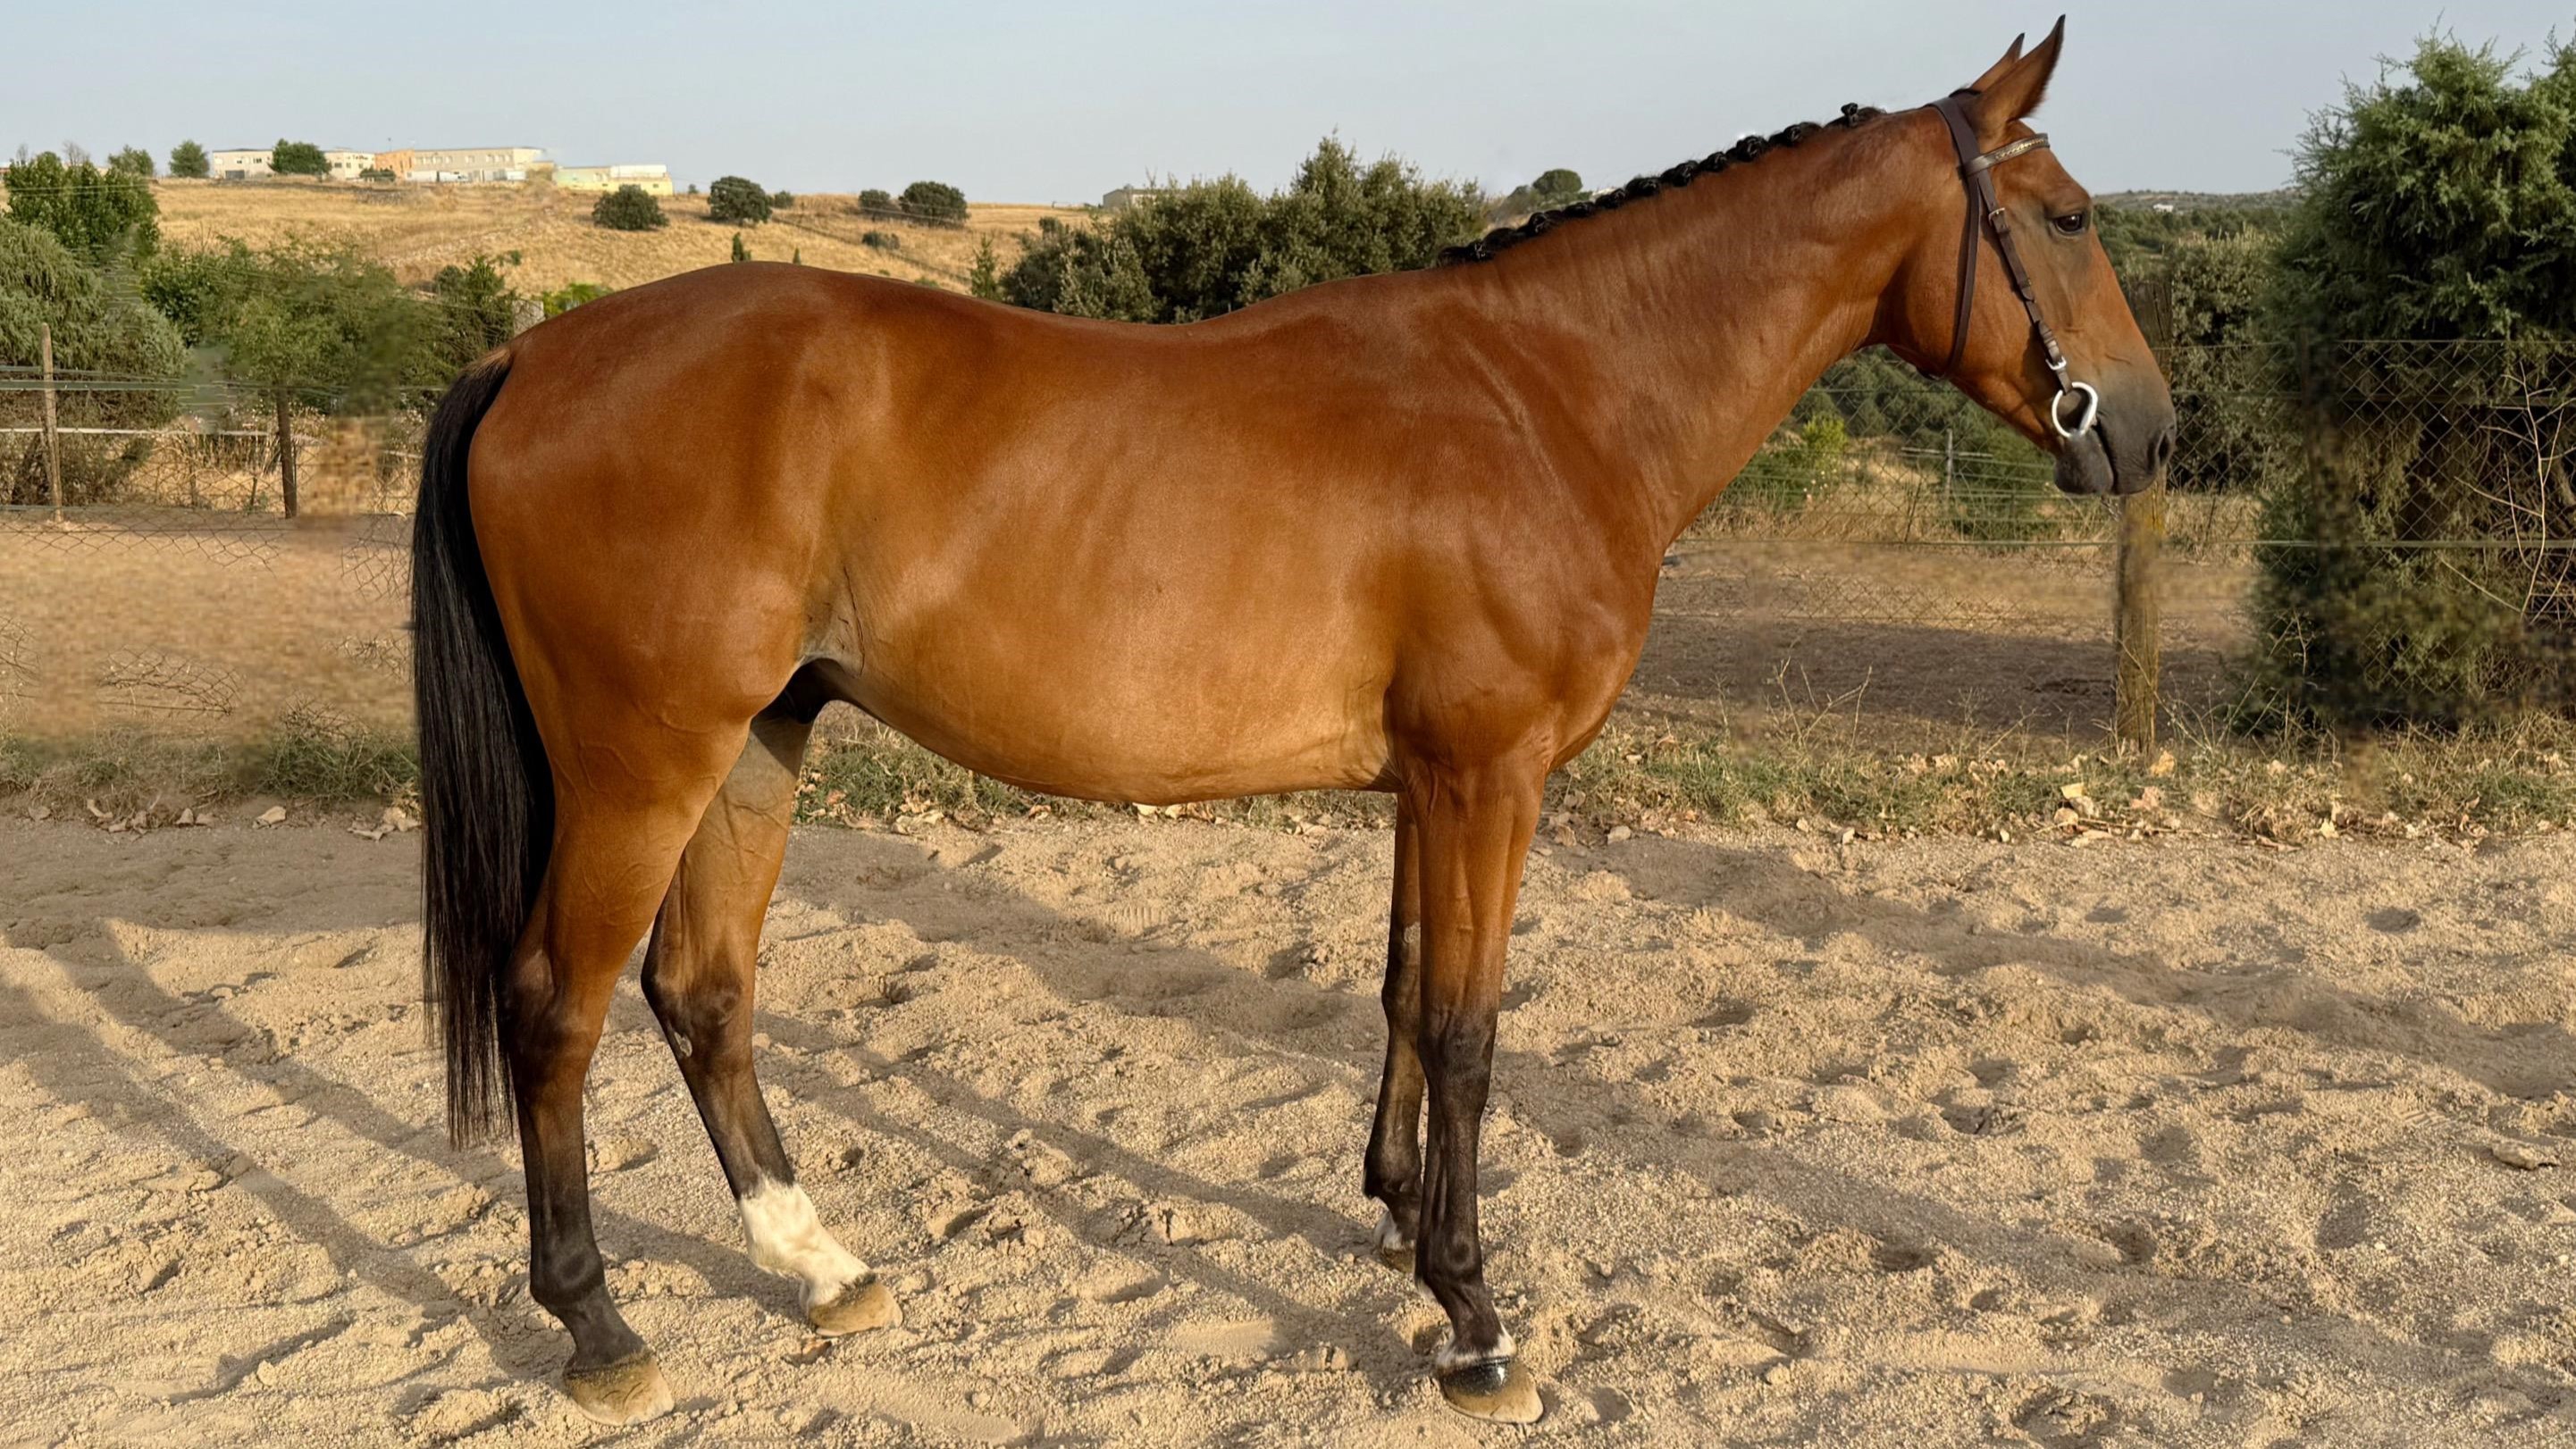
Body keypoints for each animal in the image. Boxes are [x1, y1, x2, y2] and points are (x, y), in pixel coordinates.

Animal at [410, 20, 2172, 1427]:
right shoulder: (1486, 777)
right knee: (555, 1007)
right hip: (644, 762)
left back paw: (821, 1264)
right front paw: (1471, 1315)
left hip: (759, 742)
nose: (2151, 434)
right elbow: (1465, 1029)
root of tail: (530, 351)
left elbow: (1397, 992)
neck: (1548, 396)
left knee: (701, 992)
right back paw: (599, 1325)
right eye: (2067, 216)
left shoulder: (1429, 781)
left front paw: (1394, 1219)